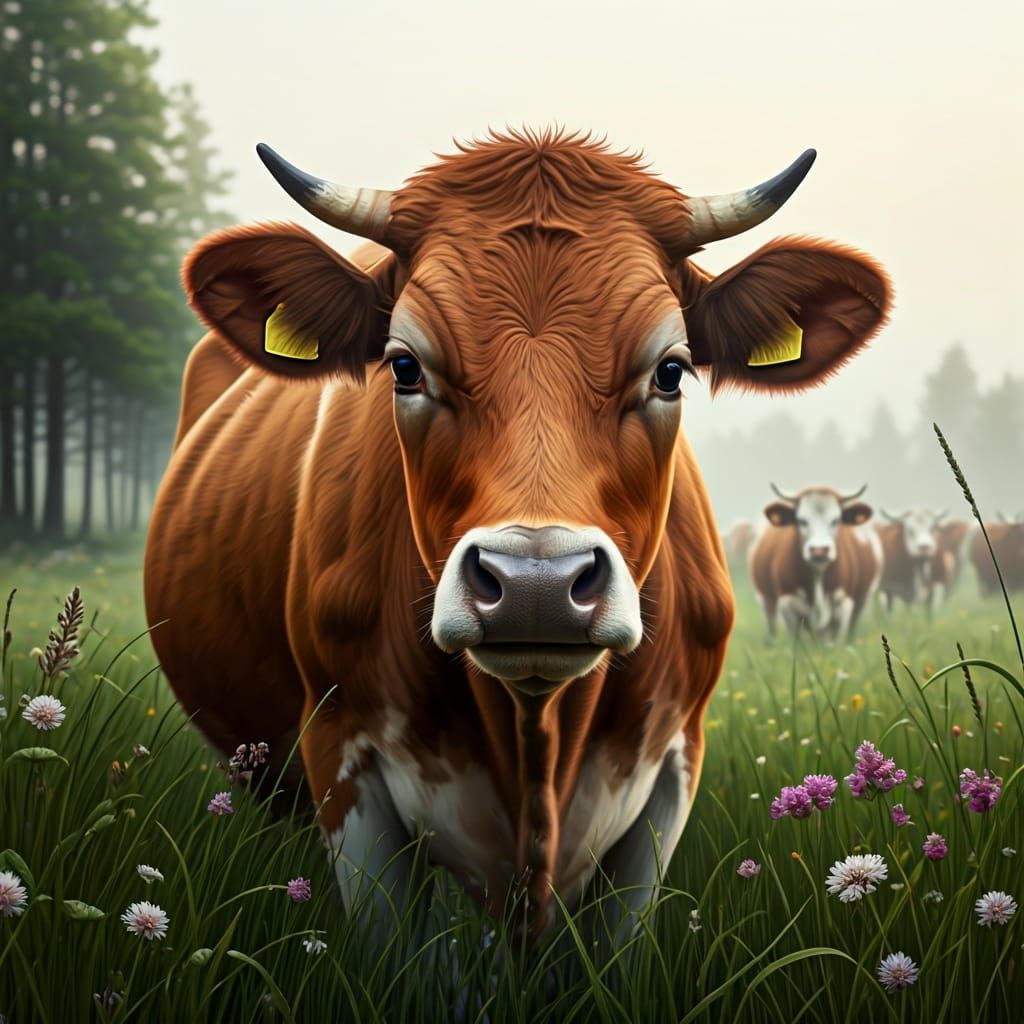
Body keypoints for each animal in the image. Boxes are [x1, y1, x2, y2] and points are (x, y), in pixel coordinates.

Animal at [749, 484, 882, 643]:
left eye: (836, 520)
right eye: (801, 520)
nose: (819, 550)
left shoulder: (843, 605)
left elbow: (835, 644)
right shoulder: (787, 604)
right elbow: (798, 643)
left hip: (861, 600)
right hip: (766, 600)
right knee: (772, 623)